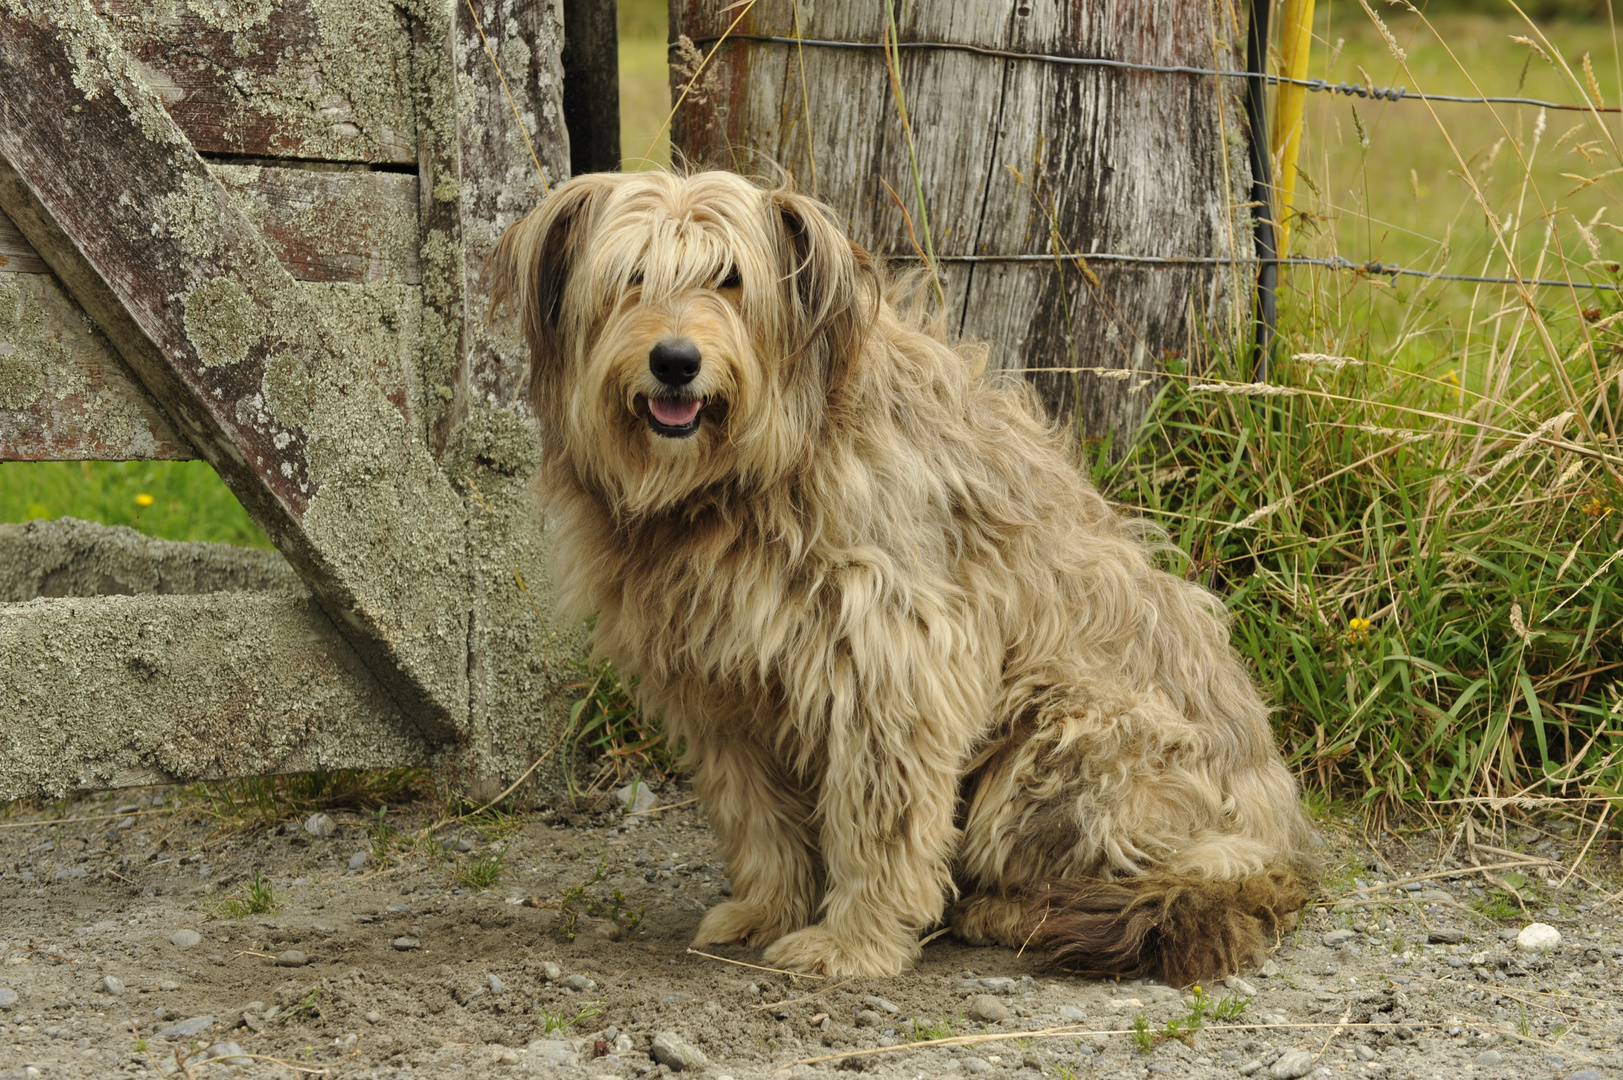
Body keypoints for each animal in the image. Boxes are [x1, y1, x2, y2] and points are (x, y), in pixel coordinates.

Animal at [496, 170, 1317, 987]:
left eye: (729, 278)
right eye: (630, 276)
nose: (674, 361)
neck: (747, 477)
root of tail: (1274, 839)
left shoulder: (890, 659)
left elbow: (878, 822)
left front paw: (854, 941)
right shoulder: (723, 685)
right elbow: (756, 816)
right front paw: (767, 910)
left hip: (1066, 734)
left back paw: (1007, 912)